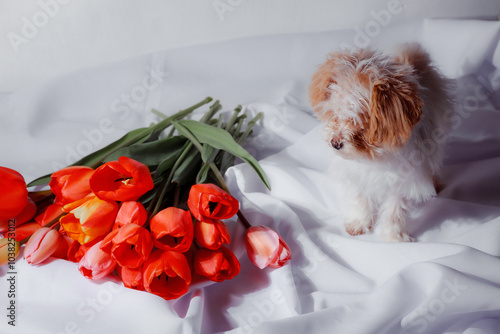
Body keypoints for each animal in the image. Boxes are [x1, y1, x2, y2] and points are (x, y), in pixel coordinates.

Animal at [308, 43, 454, 243]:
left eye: (361, 123)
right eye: (335, 114)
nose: (335, 143)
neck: (372, 157)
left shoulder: (403, 180)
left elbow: (395, 209)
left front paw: (393, 236)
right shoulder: (357, 175)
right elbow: (360, 199)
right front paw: (358, 223)